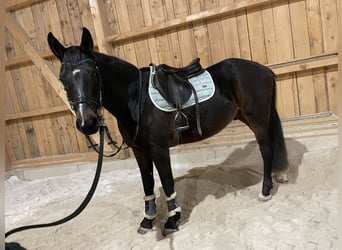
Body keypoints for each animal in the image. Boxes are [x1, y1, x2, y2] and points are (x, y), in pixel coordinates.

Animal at [47, 28, 288, 235]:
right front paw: (148, 220)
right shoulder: (140, 151)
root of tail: (265, 70)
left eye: (93, 74)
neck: (136, 99)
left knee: (266, 150)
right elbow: (148, 184)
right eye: (62, 78)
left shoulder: (159, 149)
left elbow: (167, 181)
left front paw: (173, 220)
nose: (87, 123)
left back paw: (265, 191)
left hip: (257, 119)